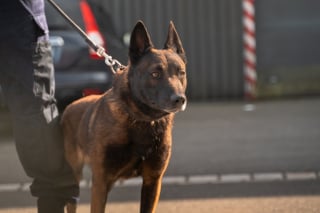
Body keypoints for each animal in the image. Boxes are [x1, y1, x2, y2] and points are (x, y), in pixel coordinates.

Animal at [62, 20, 188, 213]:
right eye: (155, 74)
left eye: (181, 72)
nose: (179, 99)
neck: (142, 121)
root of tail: (70, 106)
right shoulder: (100, 183)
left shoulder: (152, 181)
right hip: (73, 177)